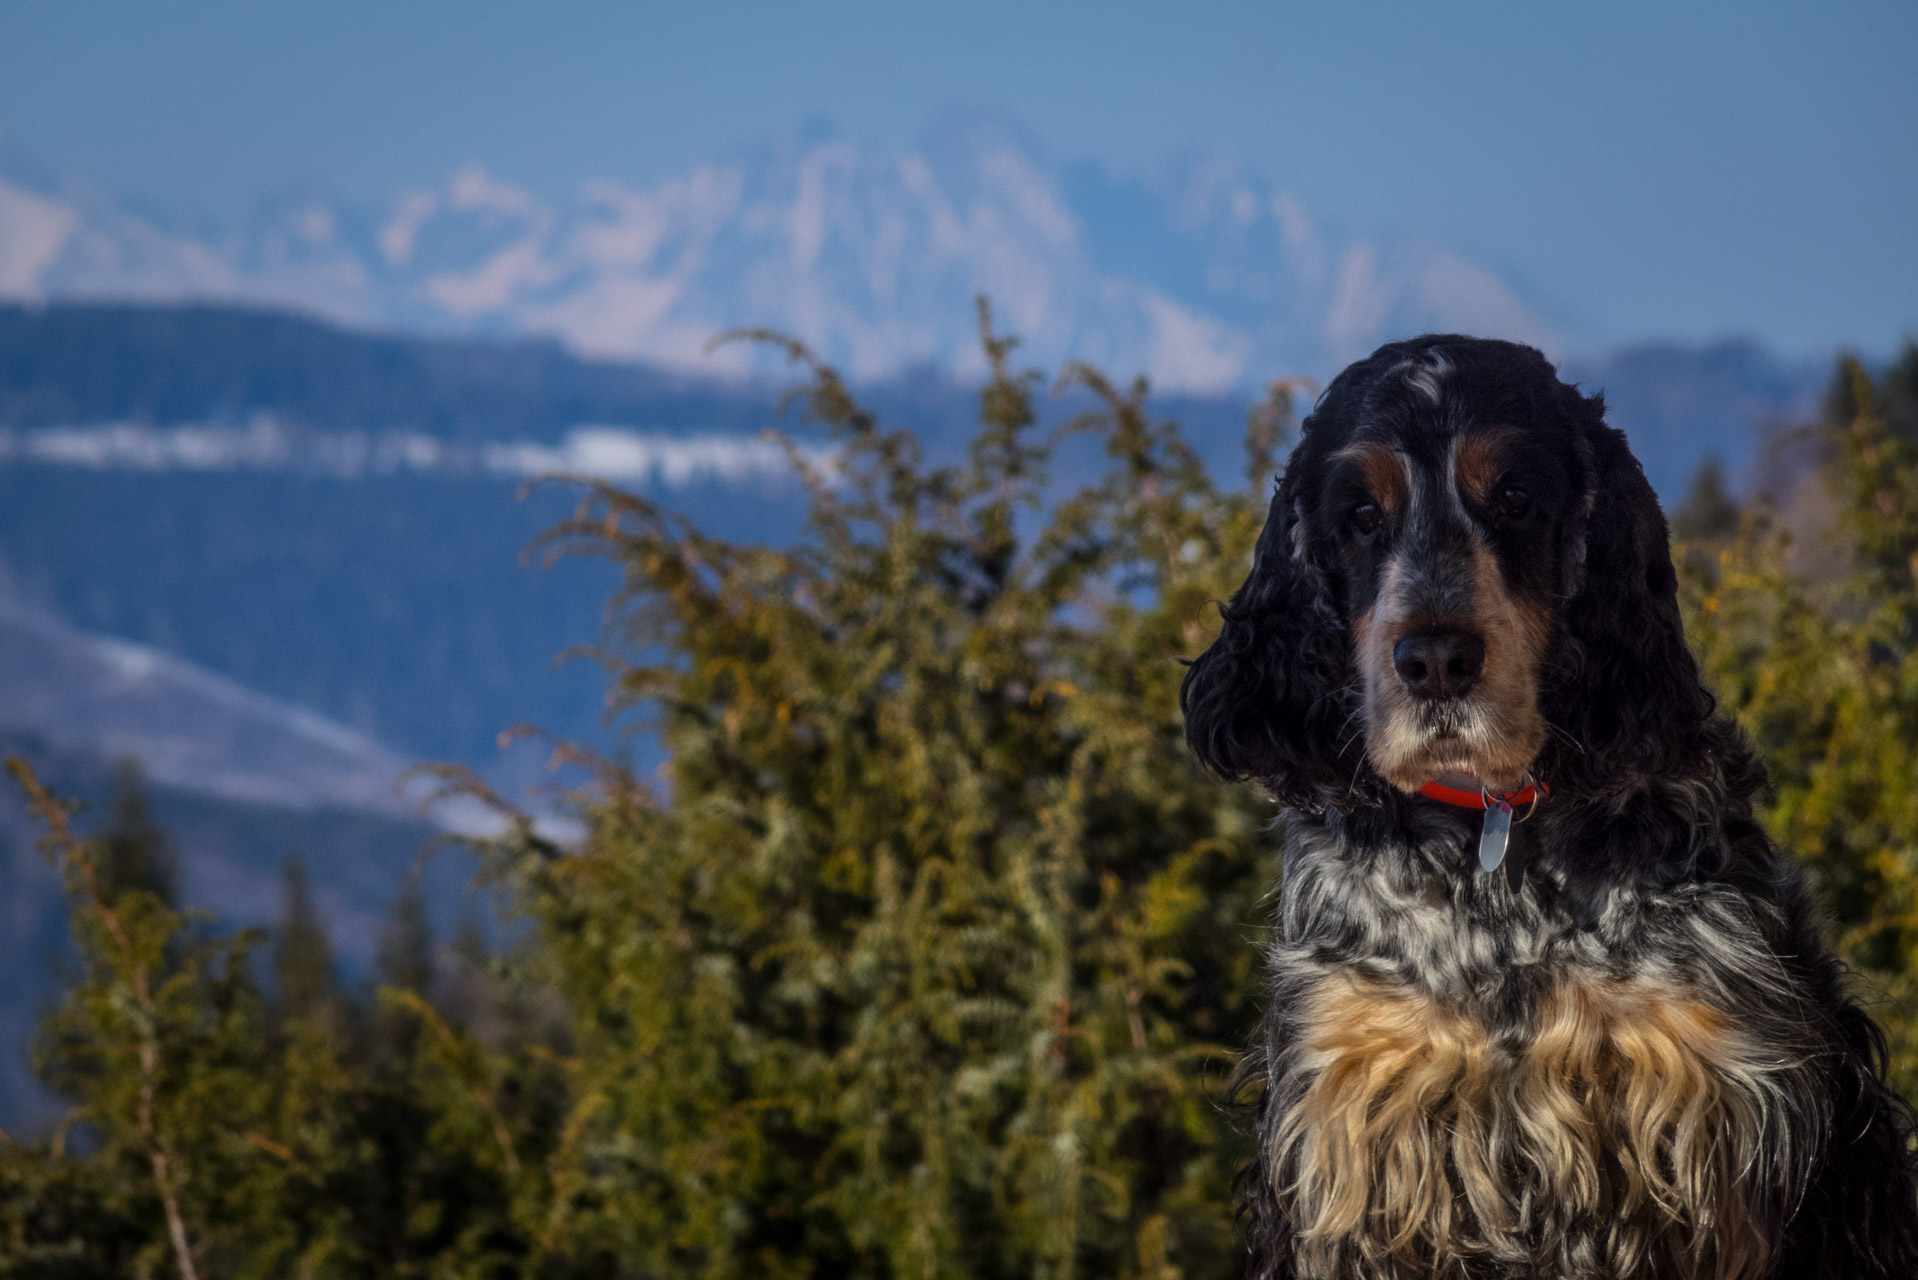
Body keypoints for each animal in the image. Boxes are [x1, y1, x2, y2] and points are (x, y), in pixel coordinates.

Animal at [1181, 339, 1918, 1280]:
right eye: (1360, 514)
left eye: (1516, 499)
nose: (1437, 661)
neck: (1493, 854)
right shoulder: (1351, 1130)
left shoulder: (1722, 1131)